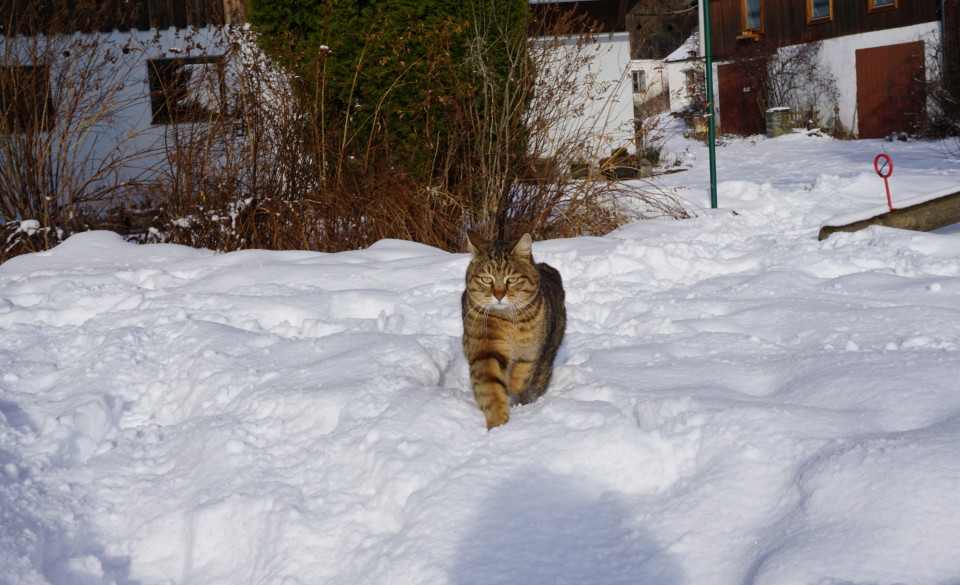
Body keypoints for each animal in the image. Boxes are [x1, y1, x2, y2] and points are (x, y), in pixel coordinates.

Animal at [462, 229, 568, 428]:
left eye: (512, 279)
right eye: (486, 279)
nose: (498, 295)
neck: (508, 321)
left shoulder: (532, 349)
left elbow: (523, 371)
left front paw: (513, 385)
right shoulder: (484, 350)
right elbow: (490, 389)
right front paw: (498, 422)